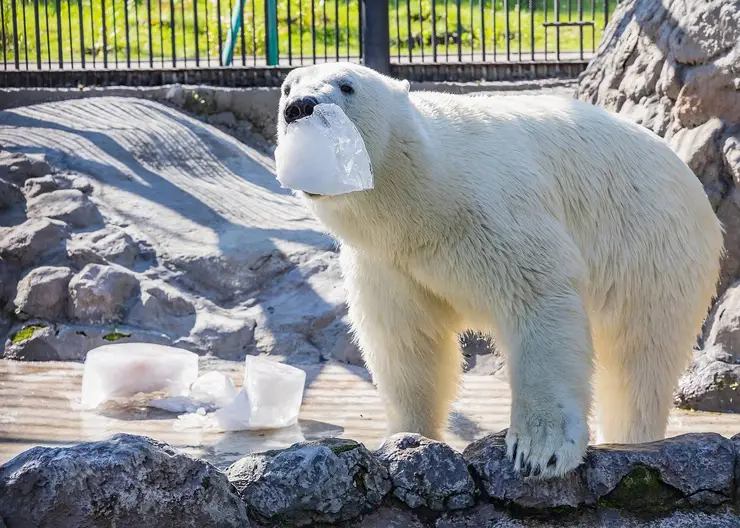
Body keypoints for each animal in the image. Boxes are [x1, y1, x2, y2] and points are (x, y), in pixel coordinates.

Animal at [278, 62, 724, 478]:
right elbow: (406, 341)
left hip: (650, 245)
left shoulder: (493, 209)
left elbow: (537, 298)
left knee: (640, 357)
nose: (298, 106)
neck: (422, 198)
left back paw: (633, 438)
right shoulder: (387, 262)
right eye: (287, 86)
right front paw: (404, 437)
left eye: (347, 85)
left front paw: (539, 452)